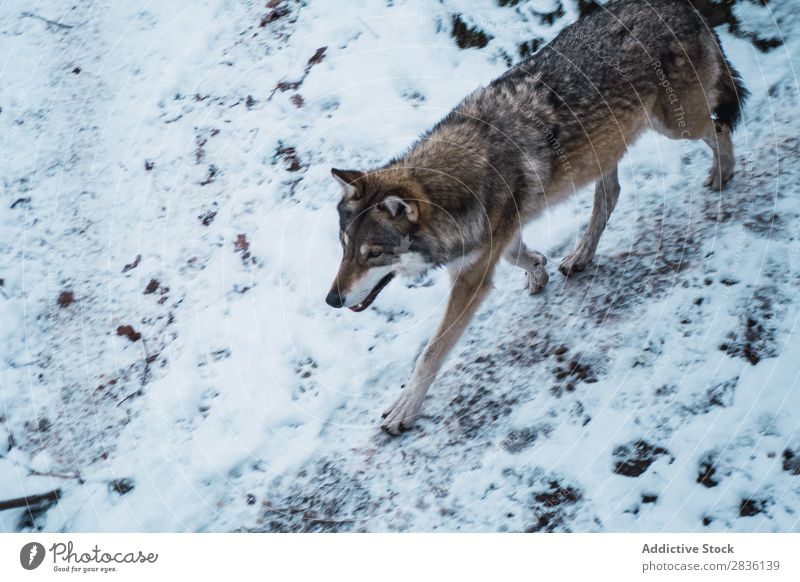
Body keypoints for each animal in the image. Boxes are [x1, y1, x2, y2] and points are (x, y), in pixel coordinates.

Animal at [322, 0, 748, 436]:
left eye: (373, 254)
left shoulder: (470, 278)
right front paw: (538, 269)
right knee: (610, 195)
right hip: (608, 149)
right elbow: (516, 255)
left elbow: (431, 351)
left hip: (676, 126)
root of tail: (677, 5)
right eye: (344, 247)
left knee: (719, 129)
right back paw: (580, 256)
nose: (332, 300)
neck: (453, 185)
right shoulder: (495, 240)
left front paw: (405, 407)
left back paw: (723, 174)